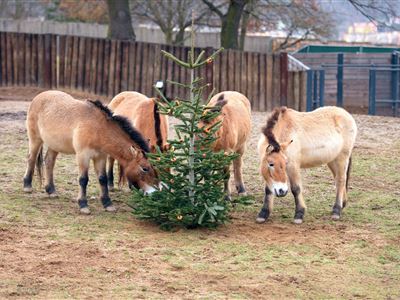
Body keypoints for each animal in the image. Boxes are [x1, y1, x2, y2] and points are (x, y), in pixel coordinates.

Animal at [23, 90, 158, 214]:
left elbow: (103, 179)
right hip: (35, 139)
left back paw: (51, 191)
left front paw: (107, 204)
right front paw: (83, 205)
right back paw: (27, 186)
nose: (154, 193)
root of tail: (39, 96)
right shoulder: (83, 156)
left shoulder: (101, 157)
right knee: (31, 158)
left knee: (49, 162)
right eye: (145, 168)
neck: (98, 128)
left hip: (54, 145)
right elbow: (83, 179)